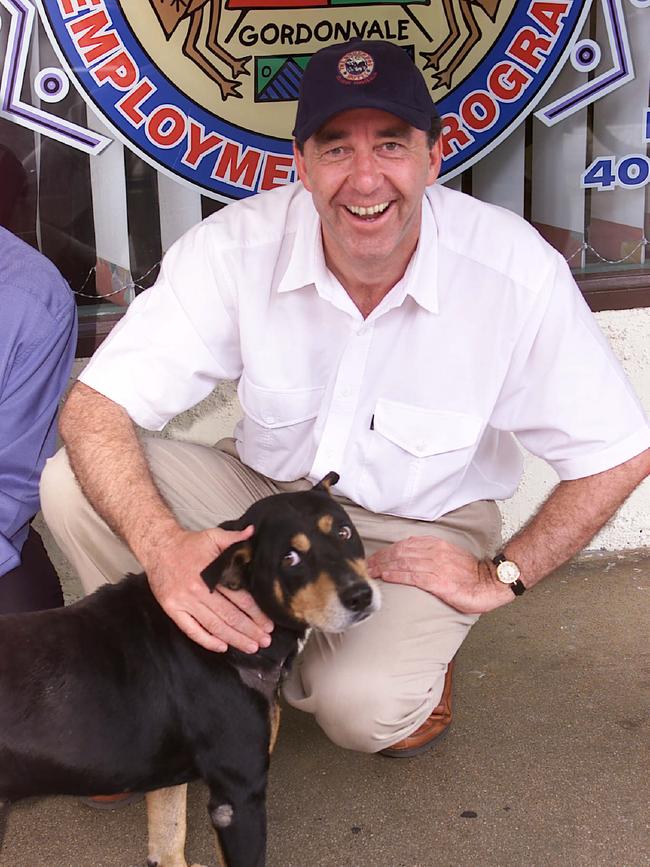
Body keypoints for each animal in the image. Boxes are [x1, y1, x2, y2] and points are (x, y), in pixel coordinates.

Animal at [0, 474, 378, 867]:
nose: (360, 596)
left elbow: (169, 840)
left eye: (345, 532)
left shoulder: (167, 782)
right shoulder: (238, 795)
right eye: (289, 558)